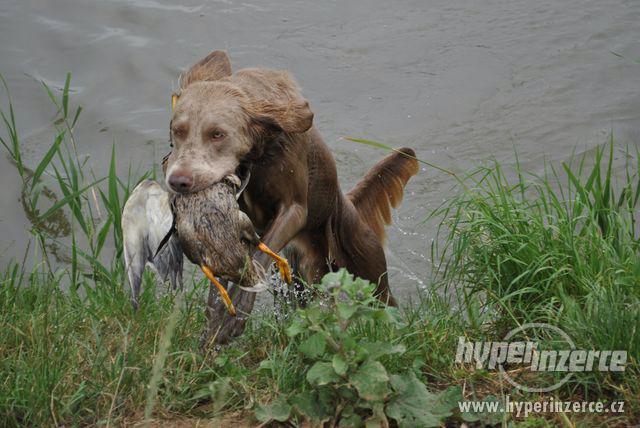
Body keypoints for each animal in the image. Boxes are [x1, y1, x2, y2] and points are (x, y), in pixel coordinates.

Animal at [164, 51, 420, 344]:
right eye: (177, 131)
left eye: (217, 134)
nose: (178, 181)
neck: (259, 154)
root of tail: (347, 204)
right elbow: (220, 279)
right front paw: (213, 326)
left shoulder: (294, 208)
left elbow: (259, 256)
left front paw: (233, 320)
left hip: (364, 262)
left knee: (385, 302)